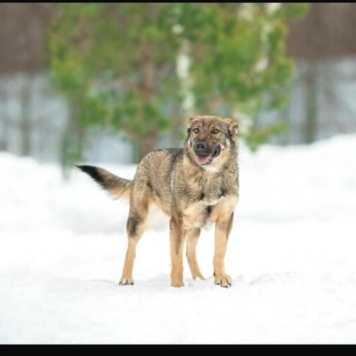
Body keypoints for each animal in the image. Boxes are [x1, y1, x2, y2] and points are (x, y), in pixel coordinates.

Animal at [78, 115, 239, 288]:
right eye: (196, 130)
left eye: (215, 131)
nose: (199, 146)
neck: (209, 177)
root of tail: (144, 160)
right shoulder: (177, 223)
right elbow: (176, 259)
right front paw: (177, 287)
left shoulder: (224, 220)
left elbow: (219, 254)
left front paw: (220, 278)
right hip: (139, 222)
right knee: (131, 250)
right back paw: (126, 278)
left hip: (194, 227)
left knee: (189, 253)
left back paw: (200, 280)